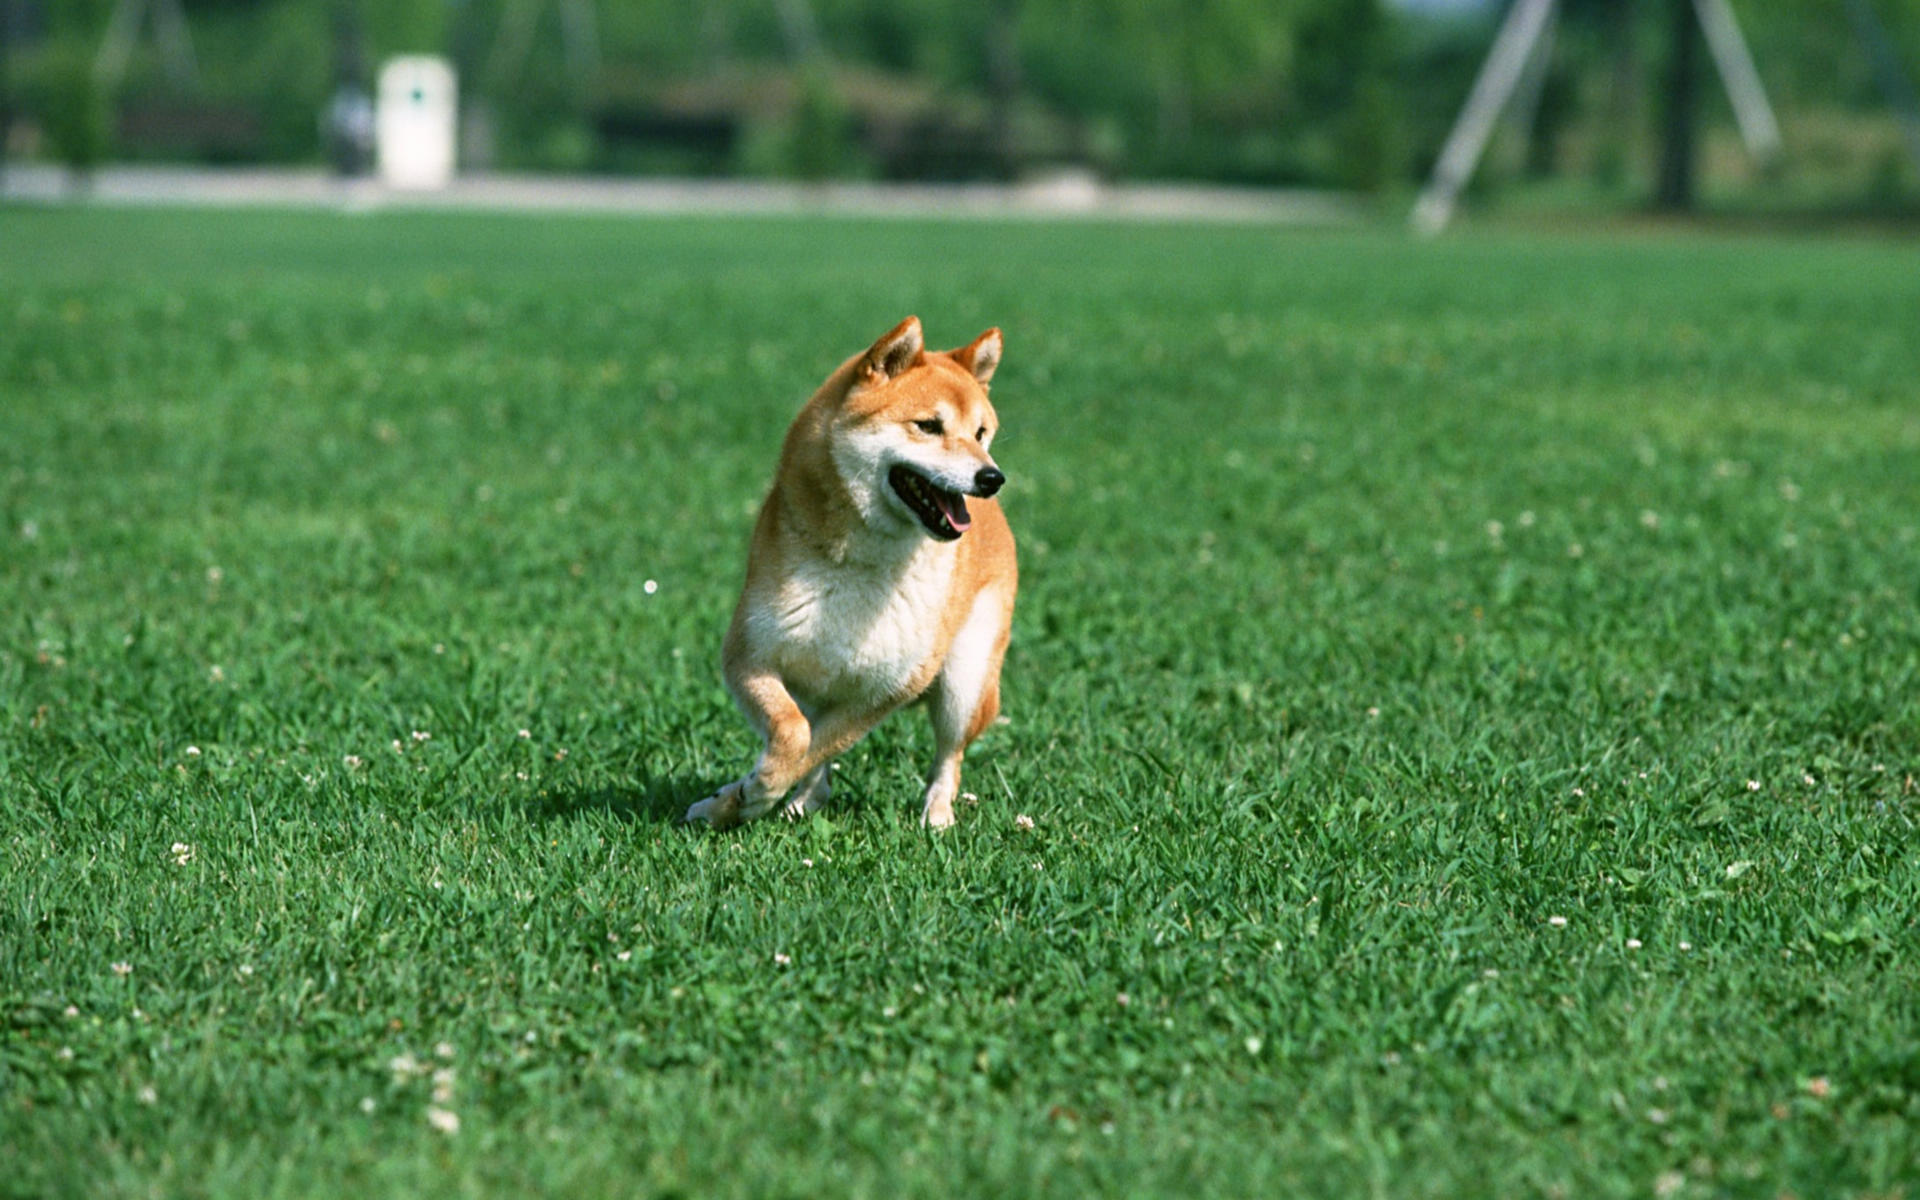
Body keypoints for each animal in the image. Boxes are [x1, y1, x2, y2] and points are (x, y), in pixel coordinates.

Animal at [691, 312, 1021, 829]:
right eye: (928, 426)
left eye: (981, 432)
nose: (992, 477)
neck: (861, 564)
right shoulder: (750, 655)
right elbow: (794, 734)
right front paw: (732, 800)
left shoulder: (887, 690)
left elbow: (811, 745)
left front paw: (752, 795)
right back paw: (801, 804)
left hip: (963, 682)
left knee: (949, 755)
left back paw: (937, 815)